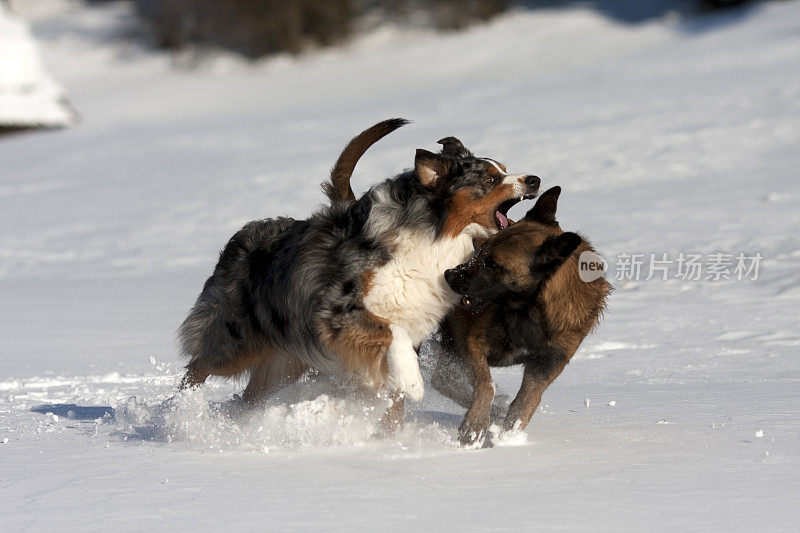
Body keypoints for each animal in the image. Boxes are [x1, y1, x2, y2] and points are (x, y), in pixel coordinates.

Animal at [434, 187, 608, 444]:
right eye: (481, 249)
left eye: (492, 265)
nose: (448, 274)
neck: (530, 314)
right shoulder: (472, 344)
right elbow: (486, 384)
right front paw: (475, 424)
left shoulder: (544, 369)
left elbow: (524, 405)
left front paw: (506, 436)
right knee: (442, 379)